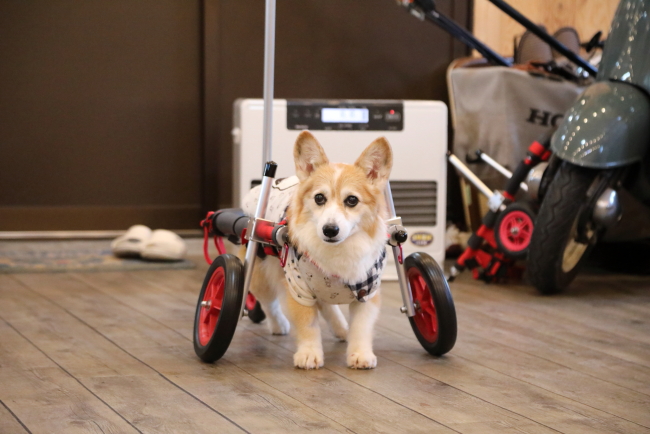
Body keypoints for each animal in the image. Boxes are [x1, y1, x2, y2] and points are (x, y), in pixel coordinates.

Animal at [242, 130, 390, 370]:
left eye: (352, 200)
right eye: (319, 198)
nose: (330, 230)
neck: (338, 251)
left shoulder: (366, 292)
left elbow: (361, 327)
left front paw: (360, 354)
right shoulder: (298, 289)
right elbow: (308, 325)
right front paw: (309, 354)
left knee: (327, 305)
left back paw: (341, 329)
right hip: (260, 272)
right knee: (269, 302)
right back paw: (279, 325)